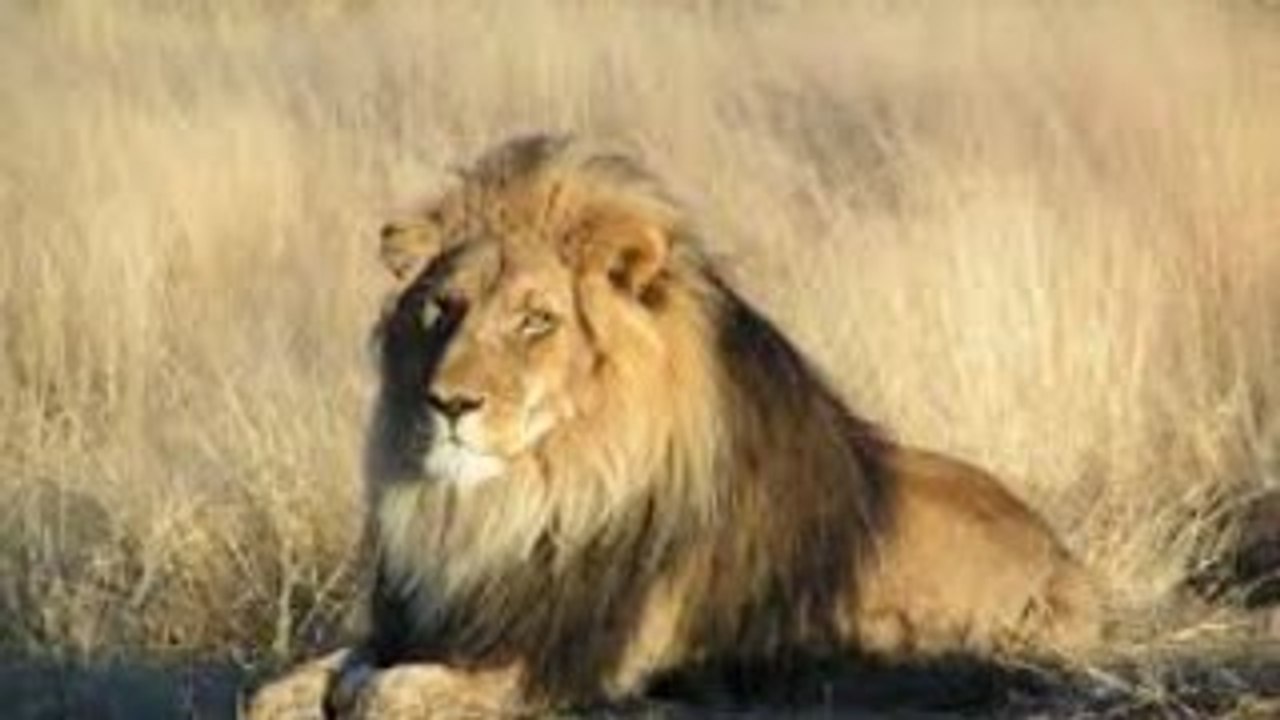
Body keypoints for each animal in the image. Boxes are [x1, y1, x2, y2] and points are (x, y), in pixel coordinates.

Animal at [249, 134, 1101, 719]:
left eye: (535, 321)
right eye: (441, 309)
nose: (448, 403)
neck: (518, 503)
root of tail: (1064, 556)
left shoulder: (574, 660)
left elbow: (385, 692)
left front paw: (367, 691)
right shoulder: (440, 618)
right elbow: (283, 689)